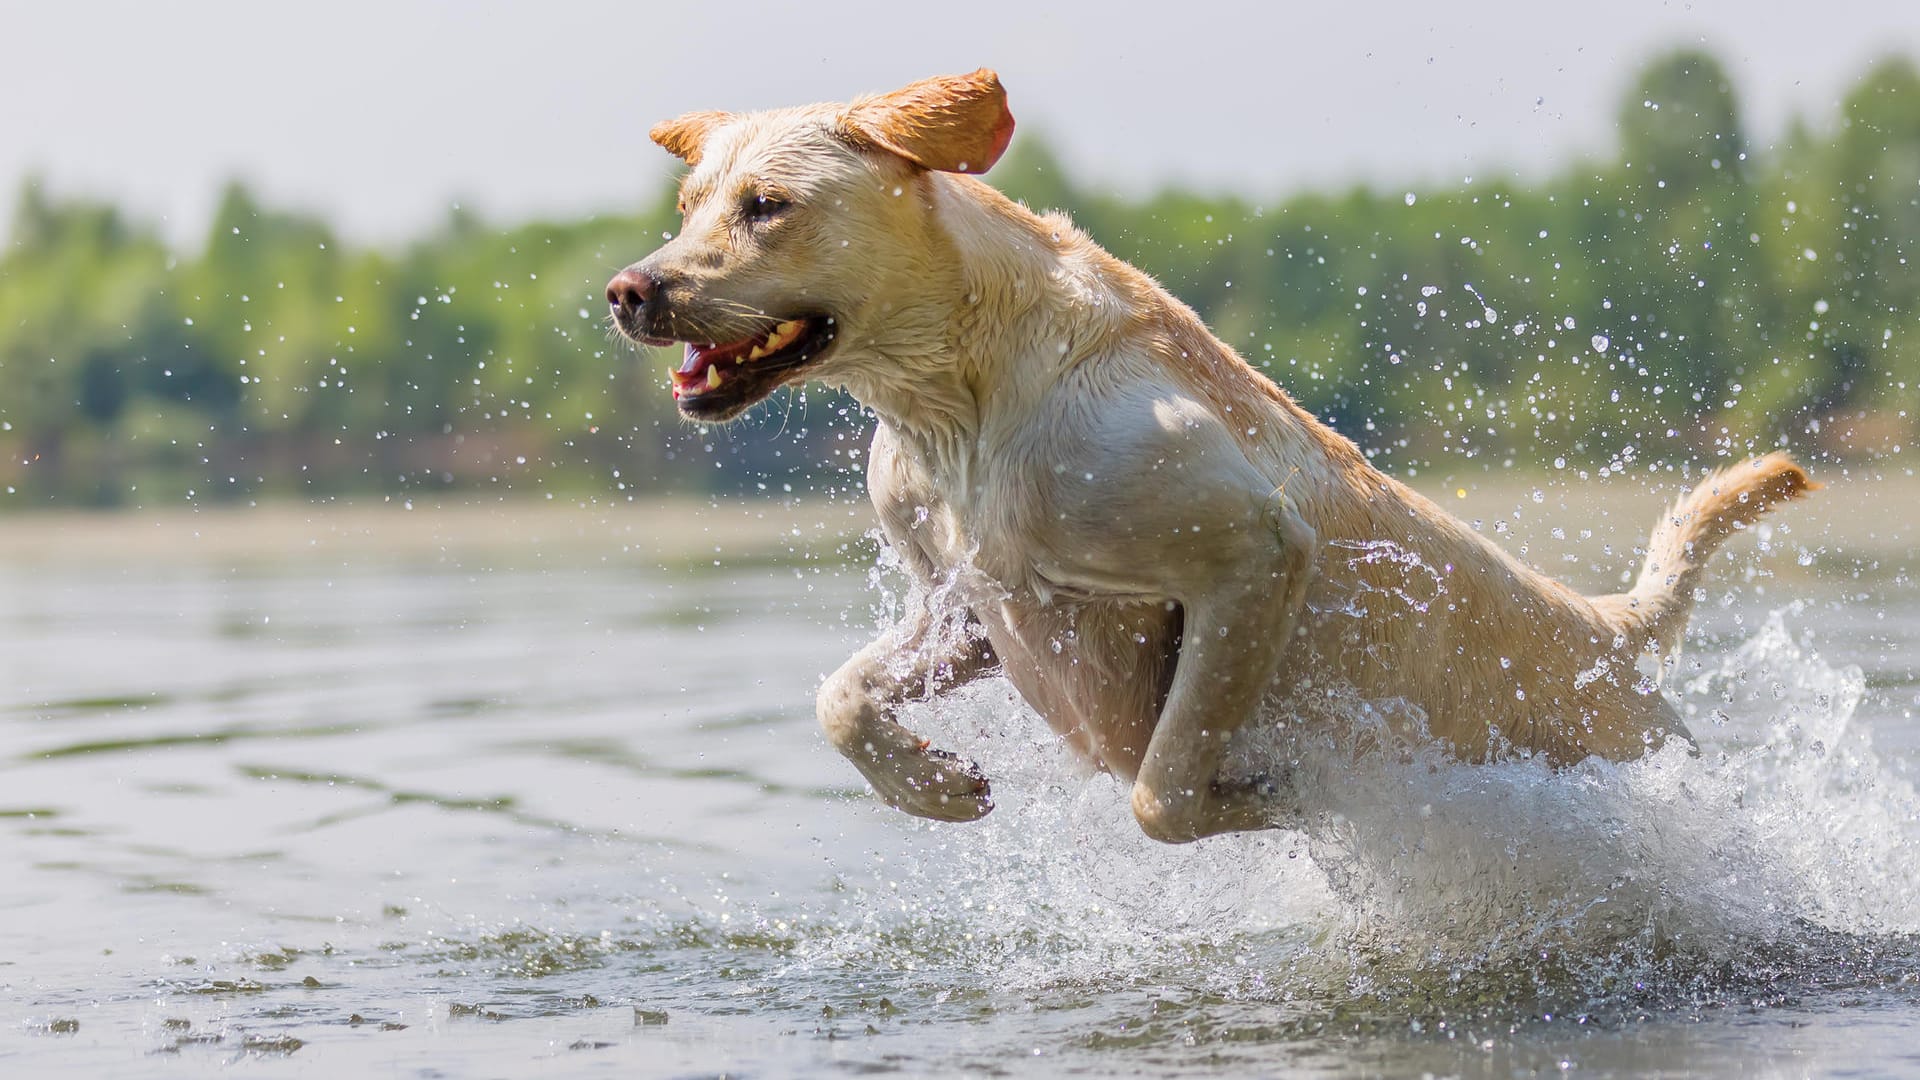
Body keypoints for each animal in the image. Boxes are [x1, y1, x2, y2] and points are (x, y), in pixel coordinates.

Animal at [606, 69, 1820, 841]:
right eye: (689, 205)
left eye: (769, 206)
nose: (629, 288)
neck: (962, 393)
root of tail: (1609, 627)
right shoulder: (970, 604)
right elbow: (841, 697)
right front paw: (933, 785)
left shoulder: (1250, 555)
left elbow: (1160, 790)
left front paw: (1282, 799)